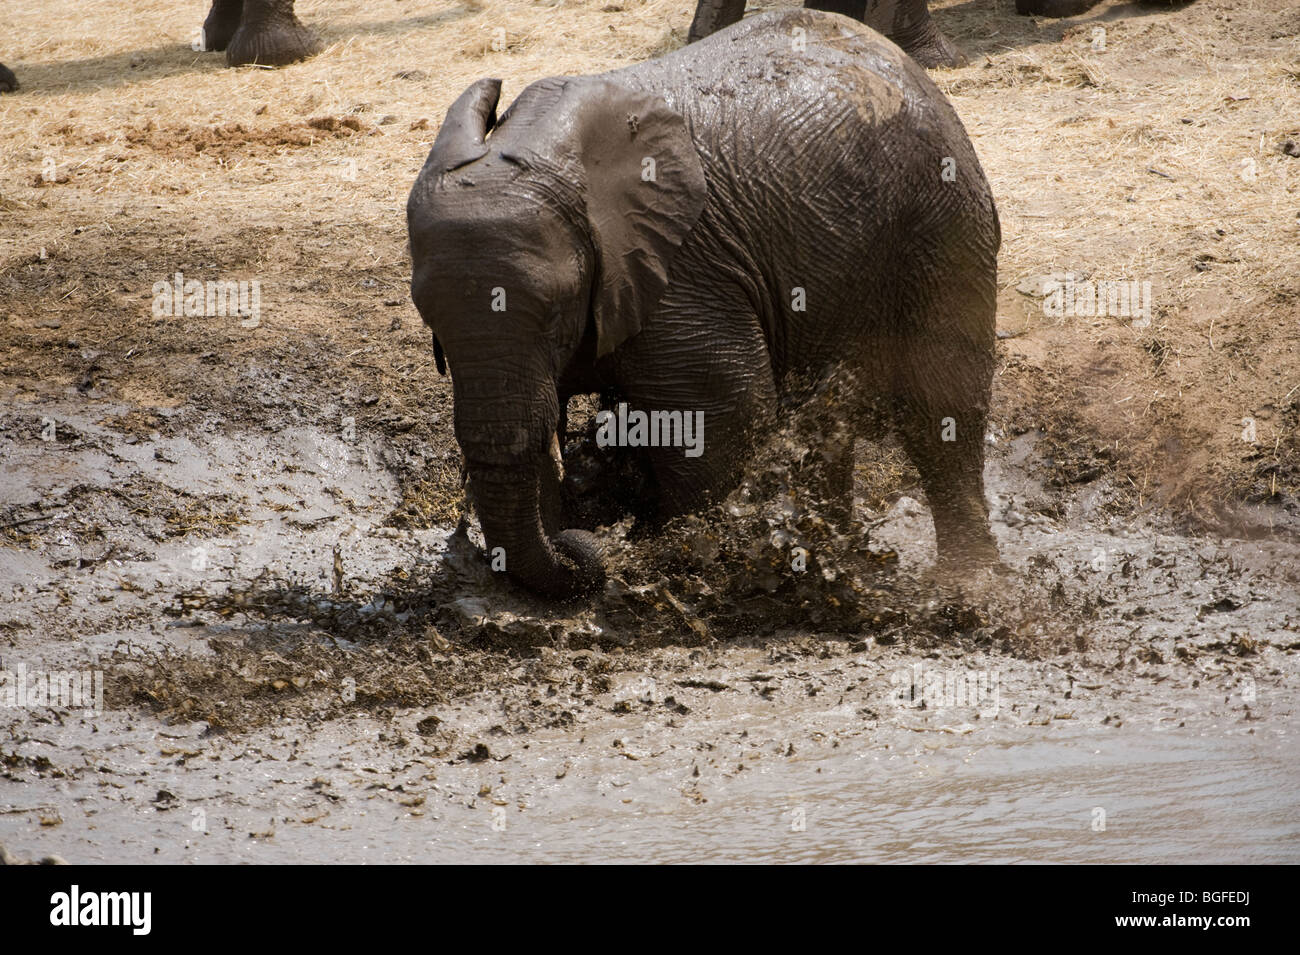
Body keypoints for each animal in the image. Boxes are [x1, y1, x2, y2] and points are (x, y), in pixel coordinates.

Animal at [410, 11, 998, 597]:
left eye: (556, 309)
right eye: (430, 323)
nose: (583, 547)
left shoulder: (684, 270)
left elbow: (723, 416)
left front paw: (699, 567)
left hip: (942, 217)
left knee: (941, 404)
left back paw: (965, 583)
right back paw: (844, 554)